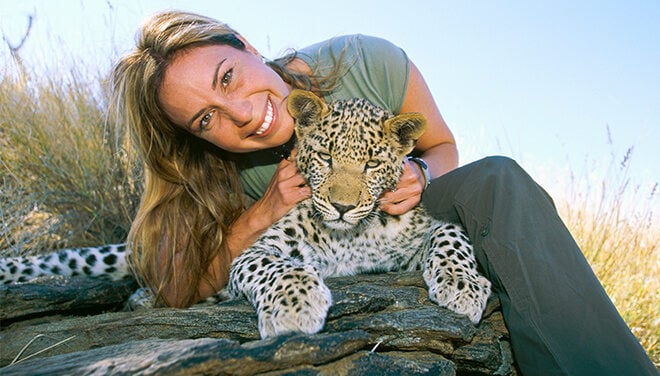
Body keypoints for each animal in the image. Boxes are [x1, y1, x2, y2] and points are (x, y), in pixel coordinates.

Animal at [227, 90, 490, 338]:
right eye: (325, 157)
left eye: (372, 164)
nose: (342, 207)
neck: (348, 237)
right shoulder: (257, 250)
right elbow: (275, 266)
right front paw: (296, 307)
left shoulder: (409, 255)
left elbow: (450, 234)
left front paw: (464, 286)